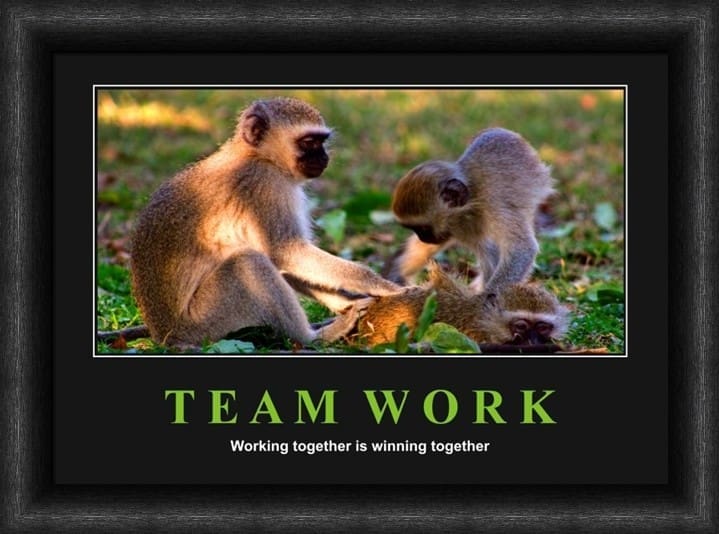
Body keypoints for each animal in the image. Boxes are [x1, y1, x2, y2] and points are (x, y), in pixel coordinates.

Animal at [130, 97, 402, 350]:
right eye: (309, 142)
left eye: (322, 142)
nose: (324, 157)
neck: (258, 155)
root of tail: (166, 336)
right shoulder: (267, 185)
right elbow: (286, 252)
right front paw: (384, 285)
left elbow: (285, 261)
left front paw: (348, 302)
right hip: (203, 322)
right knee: (248, 262)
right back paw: (312, 337)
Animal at [386, 127, 554, 295]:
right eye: (415, 230)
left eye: (423, 229)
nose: (423, 238)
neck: (472, 199)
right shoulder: (457, 229)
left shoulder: (495, 208)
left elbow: (522, 249)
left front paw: (485, 298)